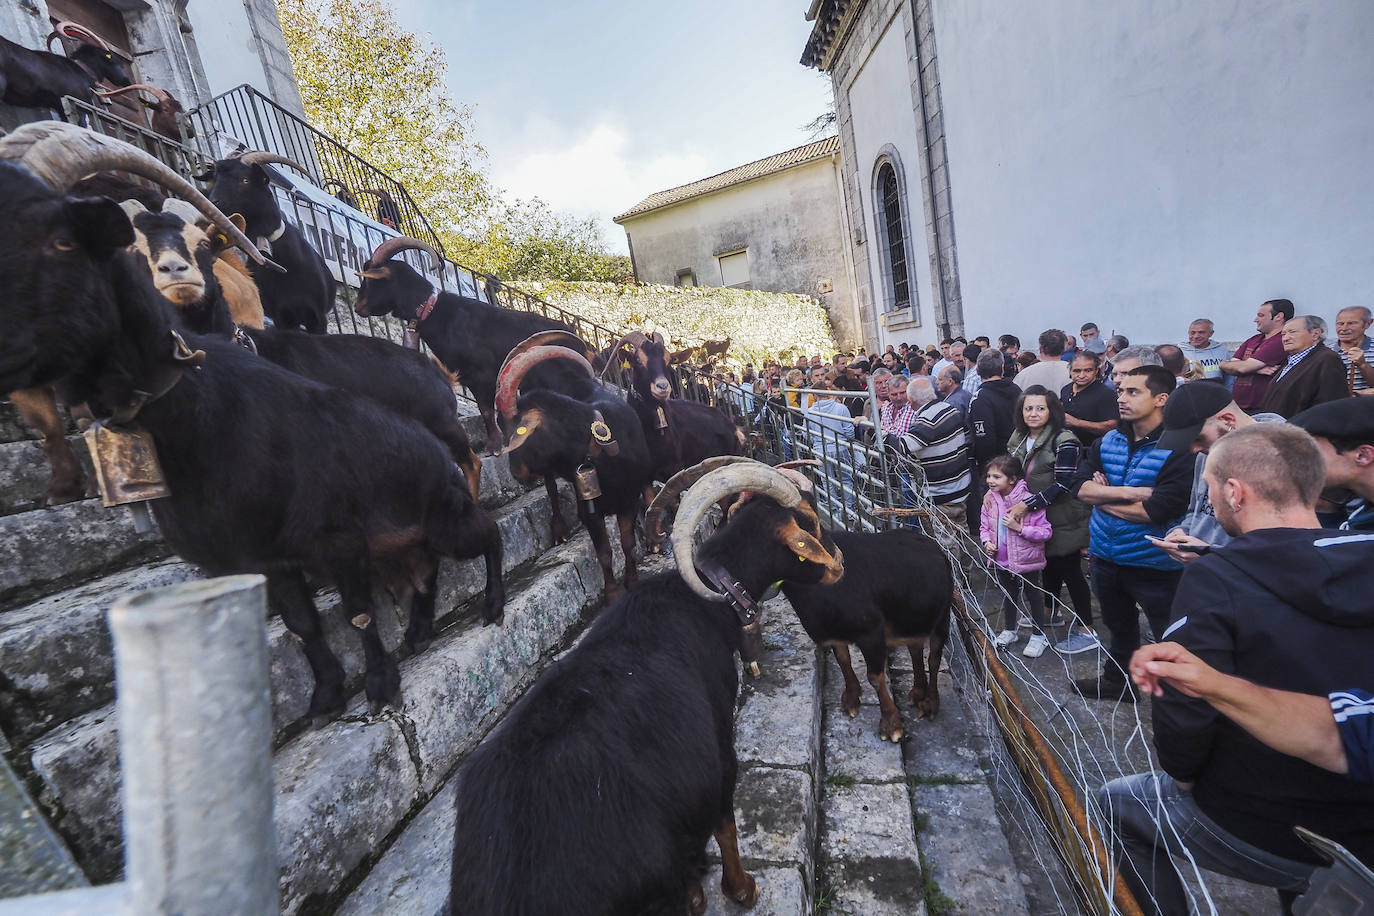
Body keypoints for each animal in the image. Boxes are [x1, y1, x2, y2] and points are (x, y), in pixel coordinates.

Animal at [450, 461, 840, 911]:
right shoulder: (719, 747)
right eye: (810, 520)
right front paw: (741, 889)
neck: (706, 599)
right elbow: (725, 822)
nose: (840, 562)